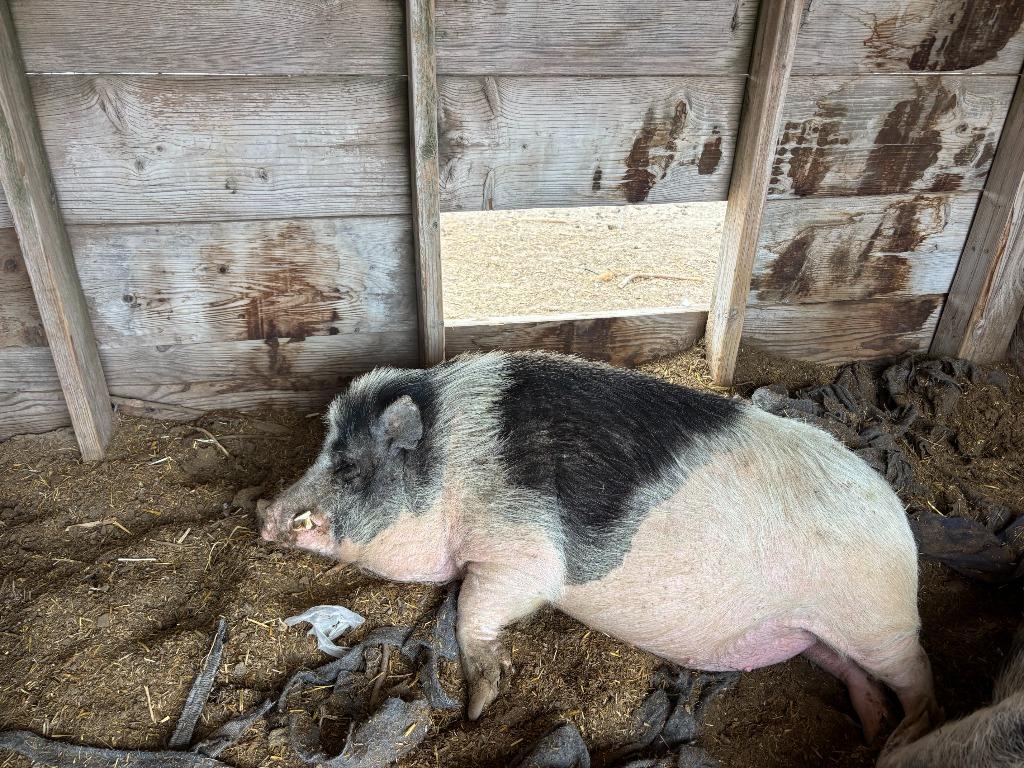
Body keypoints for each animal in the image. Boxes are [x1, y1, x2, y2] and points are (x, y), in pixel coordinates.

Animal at [259, 351, 939, 749]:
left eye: (348, 467)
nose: (264, 514)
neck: (451, 468)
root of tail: (899, 519)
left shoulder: (525, 554)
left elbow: (475, 606)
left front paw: (480, 706)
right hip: (817, 635)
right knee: (854, 673)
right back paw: (875, 730)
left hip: (876, 620)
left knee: (918, 672)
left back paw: (902, 738)